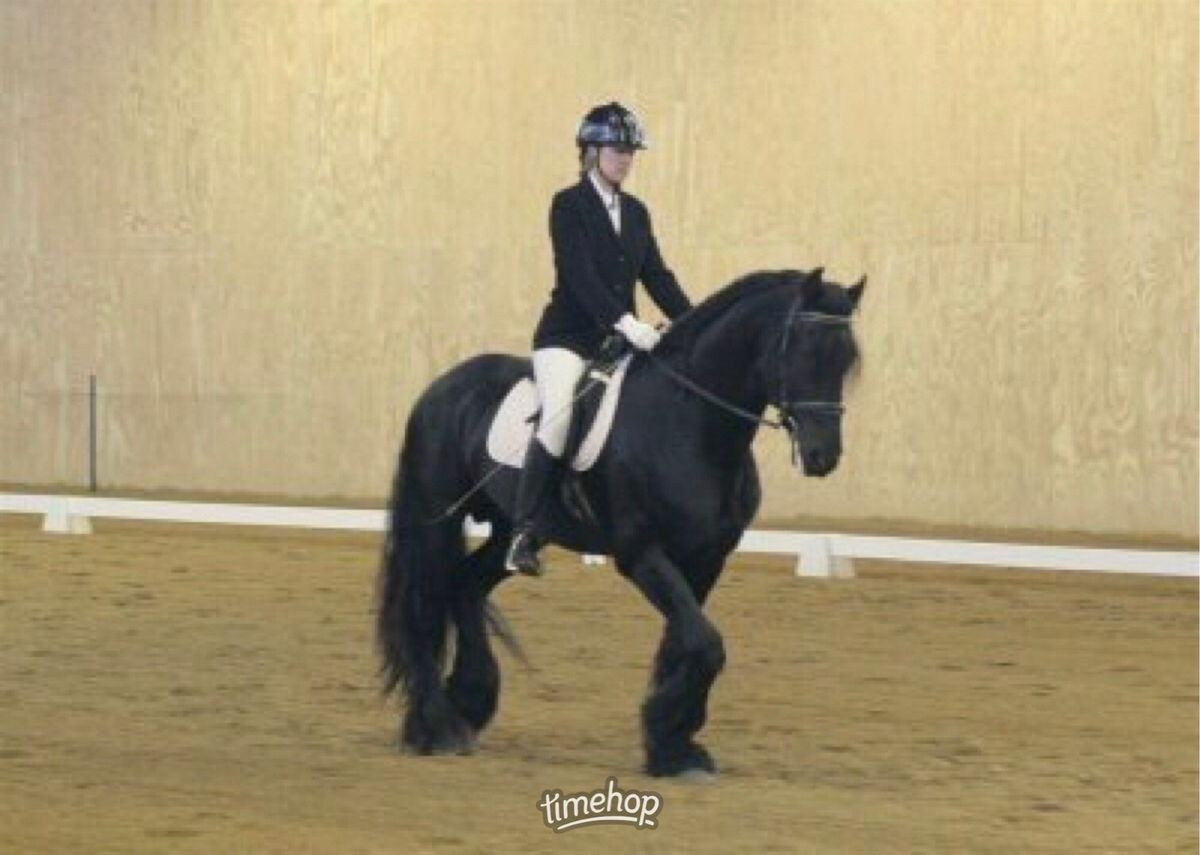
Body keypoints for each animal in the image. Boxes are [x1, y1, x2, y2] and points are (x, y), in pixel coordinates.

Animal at [374, 265, 864, 773]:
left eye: (846, 360)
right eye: (802, 350)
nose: (822, 456)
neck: (690, 424)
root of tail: (443, 386)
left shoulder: (707, 558)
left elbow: (685, 643)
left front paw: (672, 743)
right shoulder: (640, 554)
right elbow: (705, 643)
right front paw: (671, 737)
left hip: (514, 529)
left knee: (466, 583)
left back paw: (469, 701)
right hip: (434, 519)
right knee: (425, 604)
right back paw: (437, 726)